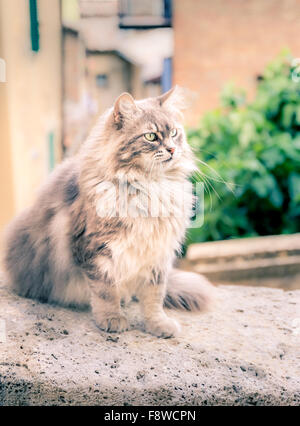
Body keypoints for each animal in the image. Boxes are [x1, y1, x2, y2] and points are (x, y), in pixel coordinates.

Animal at [3, 87, 217, 340]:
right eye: (151, 137)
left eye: (174, 133)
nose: (173, 149)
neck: (149, 187)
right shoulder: (98, 251)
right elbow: (105, 291)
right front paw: (112, 319)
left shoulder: (157, 254)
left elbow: (154, 298)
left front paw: (158, 325)